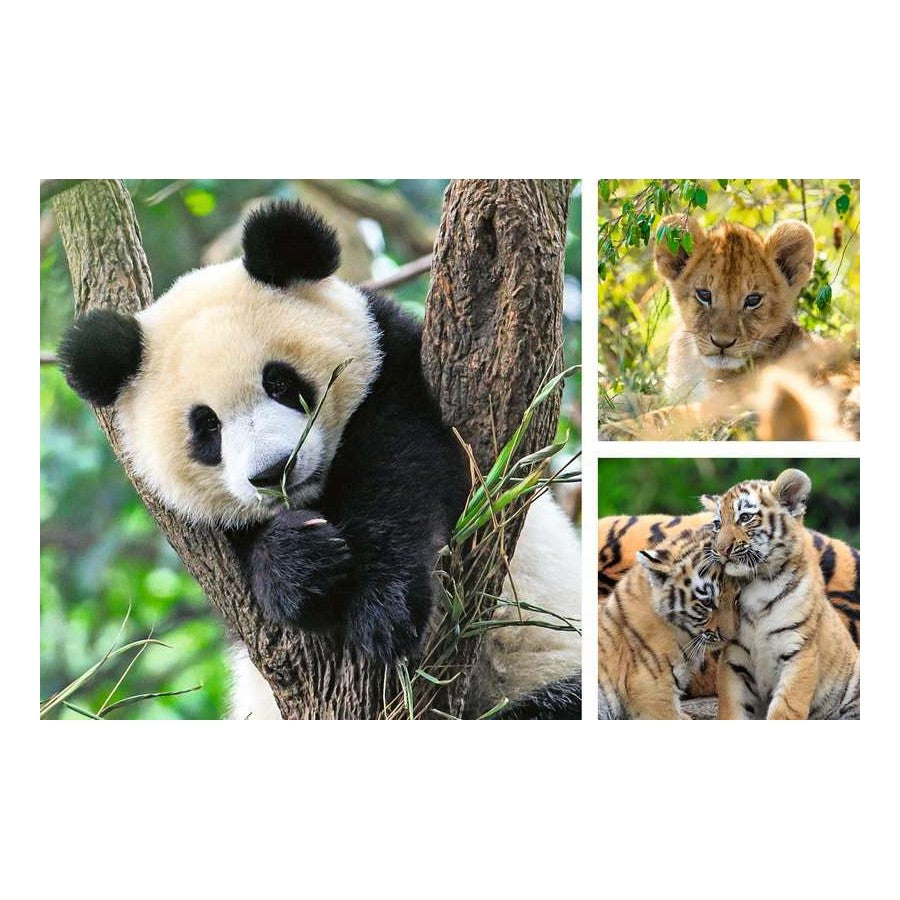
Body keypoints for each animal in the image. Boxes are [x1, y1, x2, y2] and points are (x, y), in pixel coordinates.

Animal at [59, 200, 581, 719]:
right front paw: (299, 562)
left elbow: (405, 471)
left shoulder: (395, 369)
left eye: (280, 382)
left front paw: (384, 610)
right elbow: (247, 567)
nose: (274, 471)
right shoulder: (207, 538)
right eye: (207, 426)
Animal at [707, 468, 860, 719]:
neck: (756, 582)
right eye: (717, 524)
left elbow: (785, 709)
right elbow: (732, 710)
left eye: (745, 517)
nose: (720, 549)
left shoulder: (799, 651)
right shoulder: (734, 660)